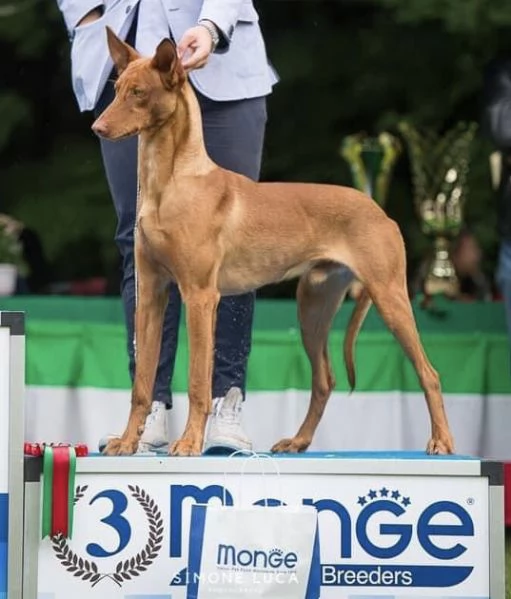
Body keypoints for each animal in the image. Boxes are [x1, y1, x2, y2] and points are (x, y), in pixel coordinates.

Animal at [92, 28, 456, 458]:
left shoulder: (200, 296)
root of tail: (377, 209)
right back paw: (298, 441)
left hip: (389, 295)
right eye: (116, 89)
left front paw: (189, 443)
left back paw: (442, 440)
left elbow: (198, 382)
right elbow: (142, 382)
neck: (169, 183)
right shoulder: (151, 292)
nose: (97, 127)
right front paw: (128, 441)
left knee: (429, 372)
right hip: (313, 306)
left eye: (139, 93)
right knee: (325, 380)